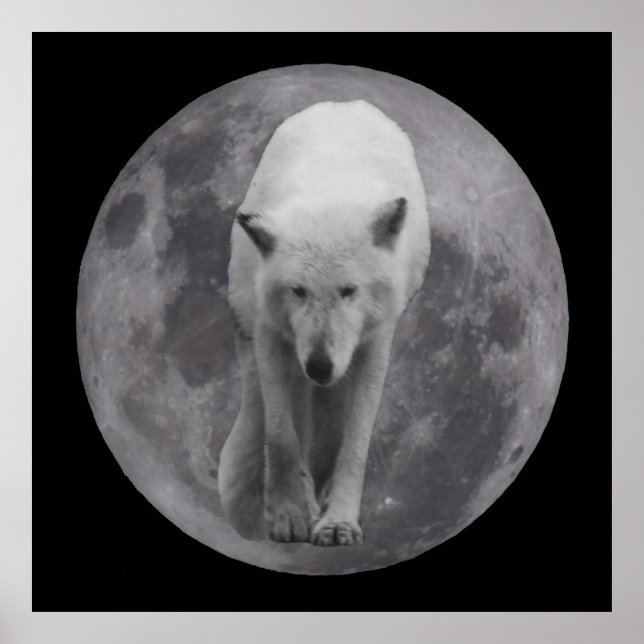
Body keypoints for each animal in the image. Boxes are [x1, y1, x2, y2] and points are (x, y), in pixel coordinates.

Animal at [218, 100, 430, 546]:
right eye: (298, 291)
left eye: (349, 291)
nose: (318, 366)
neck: (326, 202)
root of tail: (346, 104)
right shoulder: (270, 335)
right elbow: (281, 436)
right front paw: (288, 513)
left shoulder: (373, 345)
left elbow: (355, 444)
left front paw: (338, 521)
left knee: (330, 429)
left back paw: (324, 494)